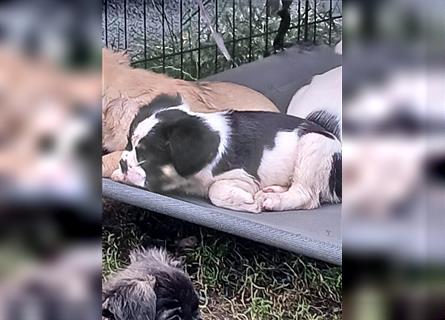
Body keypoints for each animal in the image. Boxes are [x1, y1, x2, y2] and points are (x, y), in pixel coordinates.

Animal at [111, 94, 340, 212]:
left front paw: (251, 202)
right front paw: (117, 173)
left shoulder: (243, 177)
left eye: (146, 157)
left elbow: (215, 190)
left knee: (307, 196)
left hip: (314, 143)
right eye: (128, 144)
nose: (123, 164)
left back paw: (271, 200)